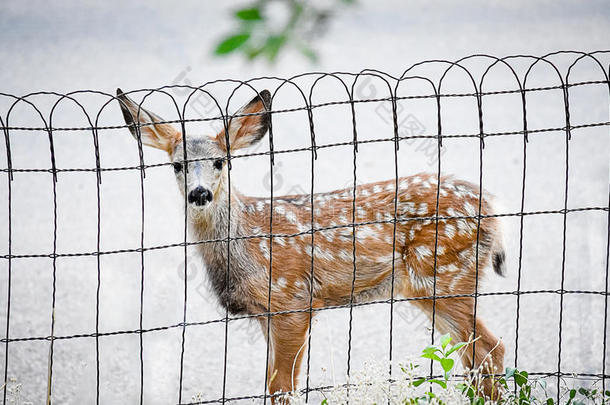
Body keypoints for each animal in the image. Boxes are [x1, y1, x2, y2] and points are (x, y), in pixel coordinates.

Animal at [116, 87, 506, 400]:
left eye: (219, 161)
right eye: (177, 165)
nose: (199, 193)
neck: (247, 244)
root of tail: (492, 210)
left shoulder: (293, 301)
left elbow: (282, 387)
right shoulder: (267, 313)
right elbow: (272, 383)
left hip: (444, 276)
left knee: (490, 350)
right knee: (474, 356)